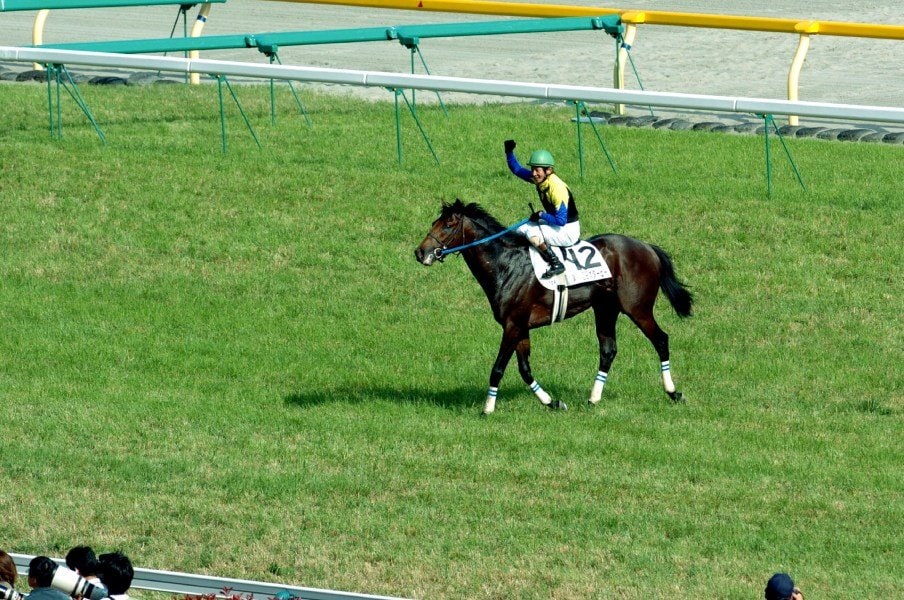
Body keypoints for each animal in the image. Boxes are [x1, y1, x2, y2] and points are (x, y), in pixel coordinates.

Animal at [414, 199, 696, 414]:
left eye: (448, 225)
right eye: (433, 223)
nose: (420, 252)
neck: (506, 263)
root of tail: (648, 248)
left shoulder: (512, 325)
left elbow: (498, 368)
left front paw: (487, 409)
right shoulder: (521, 327)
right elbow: (525, 370)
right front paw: (552, 402)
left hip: (637, 308)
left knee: (661, 339)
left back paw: (673, 392)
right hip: (605, 309)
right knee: (608, 350)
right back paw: (593, 399)